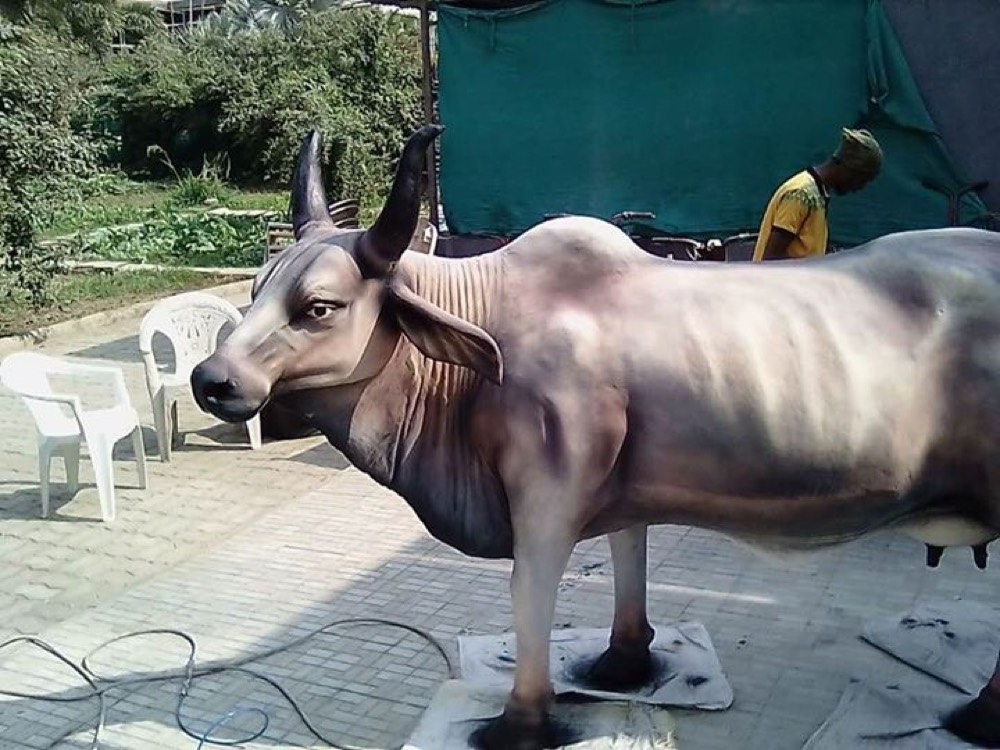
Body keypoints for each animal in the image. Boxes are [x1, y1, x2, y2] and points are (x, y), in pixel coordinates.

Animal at [191, 126, 1000, 750]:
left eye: (319, 307)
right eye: (256, 289)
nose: (212, 379)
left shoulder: (547, 496)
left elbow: (530, 593)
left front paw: (520, 722)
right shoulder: (620, 486)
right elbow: (627, 553)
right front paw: (623, 662)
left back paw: (979, 717)